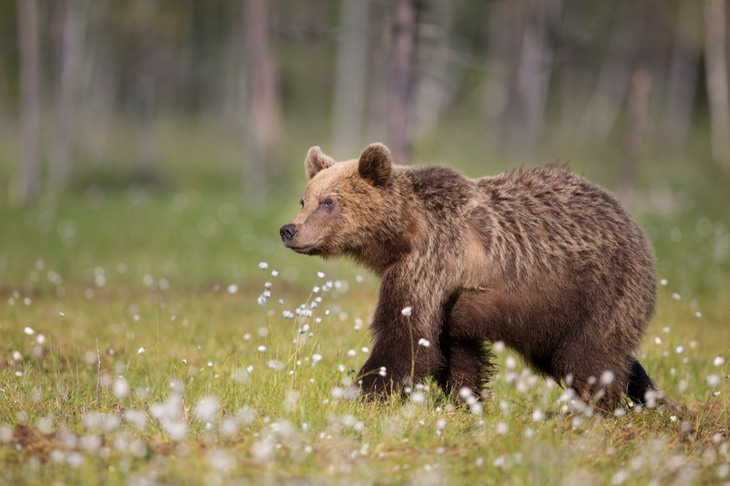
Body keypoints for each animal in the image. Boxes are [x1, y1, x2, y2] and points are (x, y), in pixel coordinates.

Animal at [278, 142, 660, 412]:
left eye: (329, 201)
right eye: (303, 199)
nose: (288, 230)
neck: (401, 236)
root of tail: (631, 220)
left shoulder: (431, 261)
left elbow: (405, 338)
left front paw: (361, 396)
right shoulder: (449, 298)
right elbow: (456, 352)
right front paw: (466, 402)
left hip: (598, 289)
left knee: (589, 356)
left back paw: (594, 408)